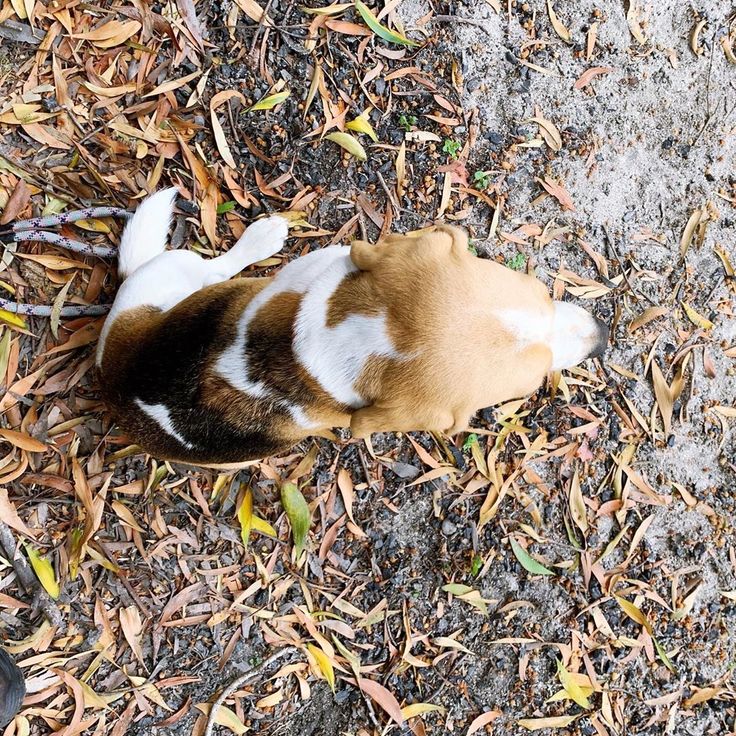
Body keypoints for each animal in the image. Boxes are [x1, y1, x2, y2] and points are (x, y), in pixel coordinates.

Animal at [98, 190, 608, 466]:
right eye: (531, 383)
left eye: (541, 293)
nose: (602, 338)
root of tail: (111, 376)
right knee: (219, 266)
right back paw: (259, 239)